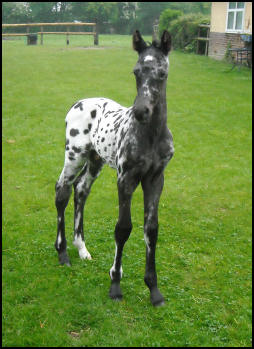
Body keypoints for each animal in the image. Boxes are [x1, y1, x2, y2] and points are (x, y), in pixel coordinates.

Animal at [55, 31, 175, 306]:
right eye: (136, 71)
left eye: (162, 73)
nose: (141, 111)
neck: (150, 136)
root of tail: (78, 103)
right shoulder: (126, 179)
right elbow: (123, 228)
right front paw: (115, 284)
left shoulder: (156, 178)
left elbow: (151, 229)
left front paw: (154, 290)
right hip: (74, 155)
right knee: (62, 191)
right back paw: (63, 253)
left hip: (95, 160)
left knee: (80, 190)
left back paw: (82, 248)